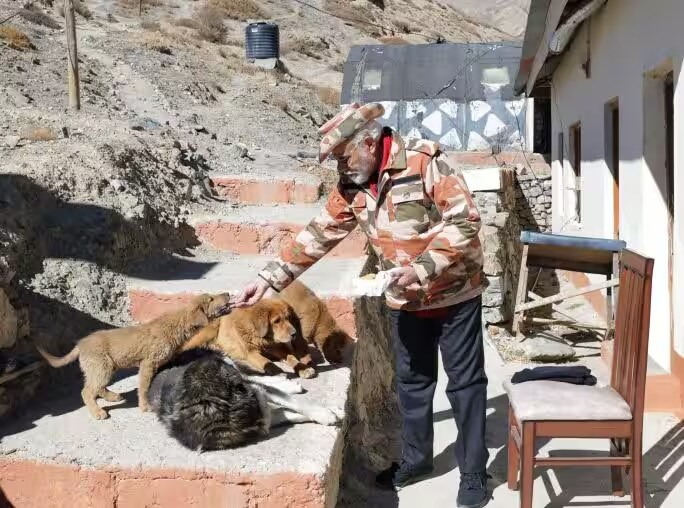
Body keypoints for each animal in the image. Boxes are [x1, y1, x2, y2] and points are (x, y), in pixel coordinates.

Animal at [35, 294, 232, 420]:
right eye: (211, 299)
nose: (228, 293)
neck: (177, 324)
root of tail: (80, 345)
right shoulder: (148, 364)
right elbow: (143, 387)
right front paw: (144, 406)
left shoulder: (157, 364)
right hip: (101, 367)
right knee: (87, 391)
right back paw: (98, 412)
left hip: (102, 368)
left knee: (95, 387)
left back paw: (112, 397)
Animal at [178, 298, 314, 378]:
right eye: (277, 321)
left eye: (288, 318)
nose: (294, 334)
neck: (261, 337)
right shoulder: (250, 352)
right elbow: (266, 361)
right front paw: (278, 372)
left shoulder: (277, 348)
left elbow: (291, 357)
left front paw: (304, 368)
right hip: (210, 330)